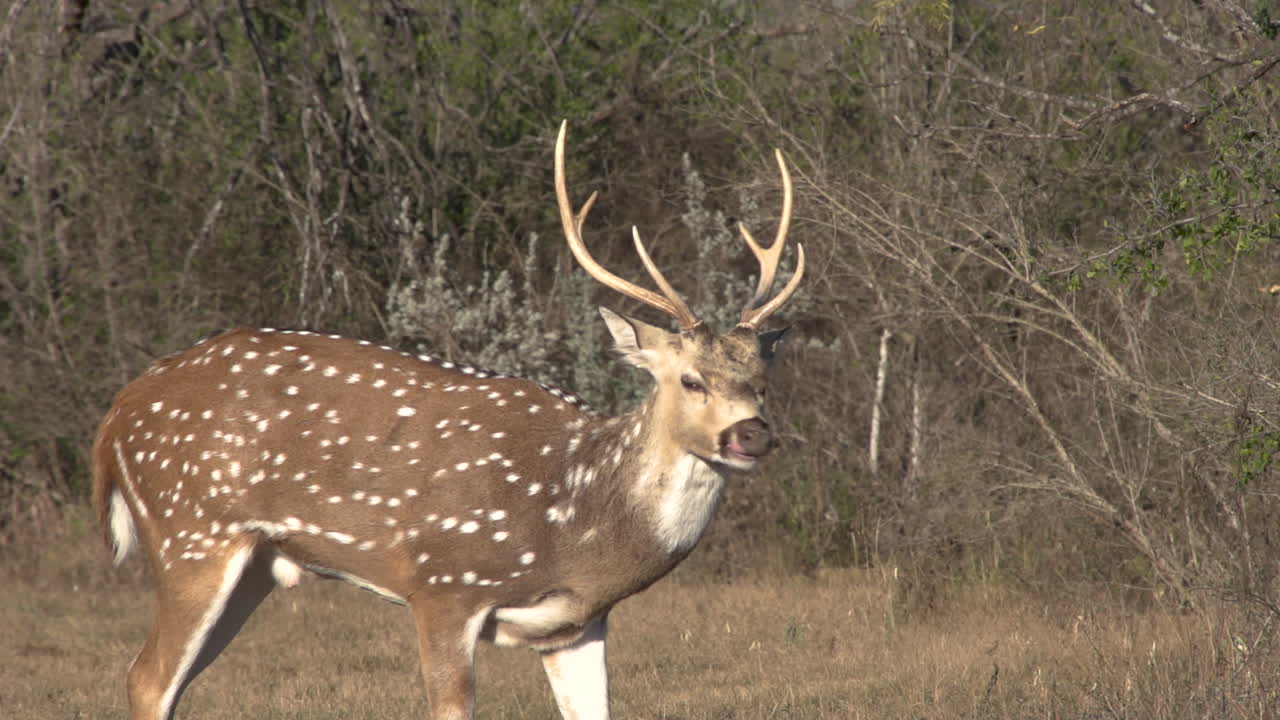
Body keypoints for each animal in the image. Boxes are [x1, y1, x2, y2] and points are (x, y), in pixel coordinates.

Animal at [91, 121, 805, 720]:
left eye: (762, 382)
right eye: (690, 379)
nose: (751, 433)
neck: (572, 516)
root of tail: (117, 413)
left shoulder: (575, 626)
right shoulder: (441, 584)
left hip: (254, 565)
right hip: (191, 532)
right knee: (147, 677)